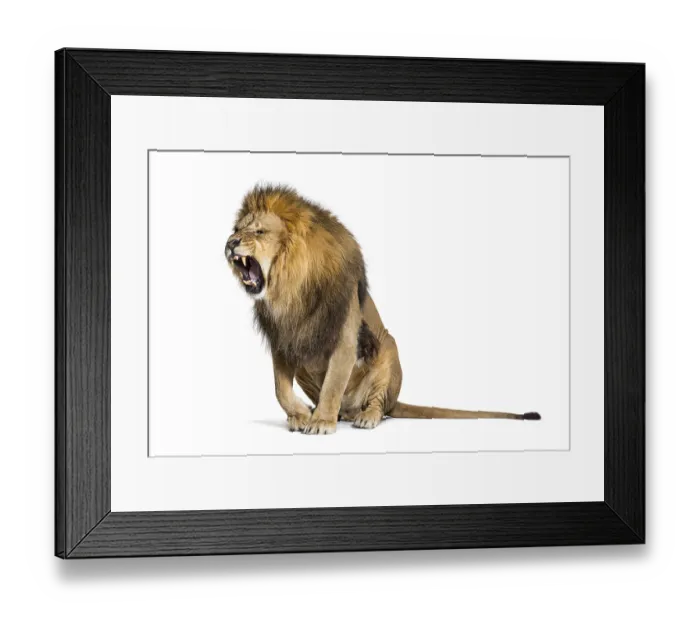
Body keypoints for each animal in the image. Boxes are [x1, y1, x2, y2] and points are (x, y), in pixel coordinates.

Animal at [225, 184, 541, 435]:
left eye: (259, 231)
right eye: (237, 230)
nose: (230, 244)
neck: (290, 288)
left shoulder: (345, 336)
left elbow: (332, 384)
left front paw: (322, 421)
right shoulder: (285, 337)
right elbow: (280, 389)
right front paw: (300, 415)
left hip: (388, 348)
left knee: (377, 405)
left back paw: (363, 416)